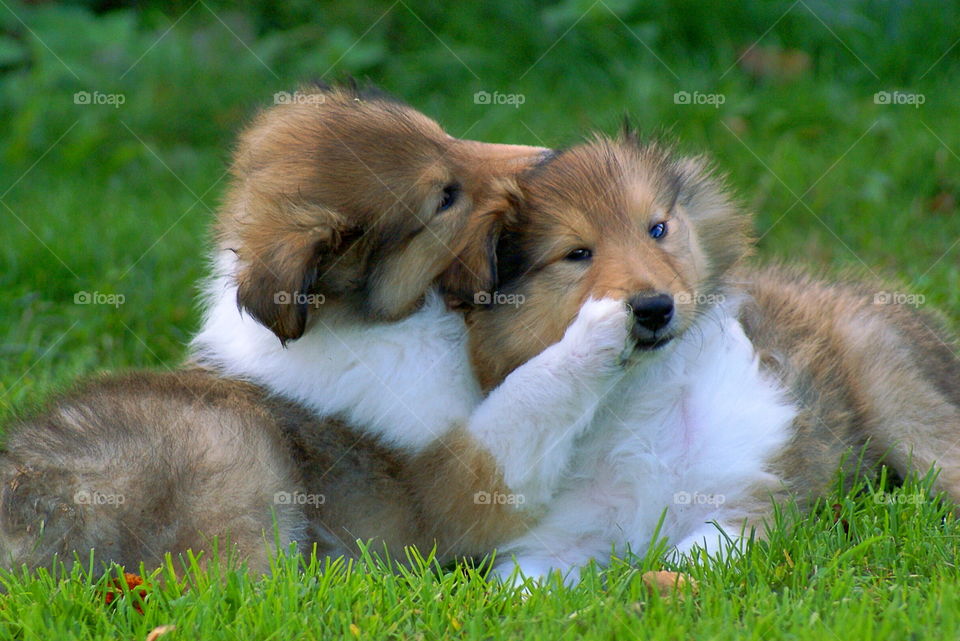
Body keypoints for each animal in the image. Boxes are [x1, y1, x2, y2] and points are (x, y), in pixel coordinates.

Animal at [452, 132, 960, 584]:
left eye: (657, 228)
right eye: (577, 253)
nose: (655, 308)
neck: (641, 395)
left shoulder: (742, 504)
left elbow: (685, 560)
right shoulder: (555, 540)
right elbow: (522, 588)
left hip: (897, 397)